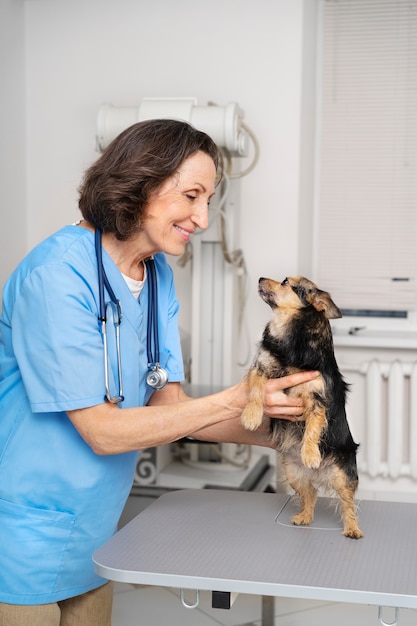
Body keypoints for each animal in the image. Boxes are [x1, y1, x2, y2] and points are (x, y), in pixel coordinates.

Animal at [239, 276, 362, 540]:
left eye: (286, 282)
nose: (260, 277)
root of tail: (318, 474)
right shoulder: (260, 368)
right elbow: (256, 391)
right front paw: (251, 417)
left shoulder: (317, 397)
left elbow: (313, 427)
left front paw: (311, 454)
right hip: (294, 474)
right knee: (311, 493)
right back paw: (305, 517)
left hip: (343, 475)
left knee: (348, 503)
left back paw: (353, 529)